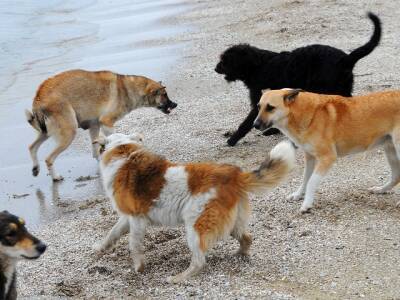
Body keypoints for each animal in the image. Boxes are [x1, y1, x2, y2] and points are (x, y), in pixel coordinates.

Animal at [25, 69, 175, 180]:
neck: (127, 89)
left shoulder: (94, 126)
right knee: (49, 159)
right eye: (164, 94)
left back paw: (35, 167)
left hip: (45, 132)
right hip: (68, 132)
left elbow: (95, 148)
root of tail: (39, 97)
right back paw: (55, 177)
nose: (175, 104)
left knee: (32, 147)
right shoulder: (107, 123)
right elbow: (113, 139)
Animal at [93, 132, 294, 282]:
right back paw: (239, 254)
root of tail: (234, 175)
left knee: (199, 261)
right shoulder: (127, 217)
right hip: (230, 223)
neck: (122, 150)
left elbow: (134, 245)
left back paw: (178, 278)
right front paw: (100, 248)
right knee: (247, 238)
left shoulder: (137, 219)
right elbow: (112, 233)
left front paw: (138, 267)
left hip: (195, 227)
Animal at [216, 12, 382, 146]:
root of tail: (345, 59)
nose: (215, 68)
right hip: (342, 88)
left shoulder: (260, 99)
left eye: (224, 61)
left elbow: (247, 123)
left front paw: (232, 139)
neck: (258, 65)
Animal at [255, 88, 400, 212]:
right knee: (396, 176)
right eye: (258, 106)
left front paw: (307, 204)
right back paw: (381, 189)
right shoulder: (310, 157)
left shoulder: (327, 158)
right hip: (390, 150)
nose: (255, 125)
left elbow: (311, 181)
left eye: (270, 107)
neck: (304, 113)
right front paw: (298, 195)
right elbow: (305, 179)